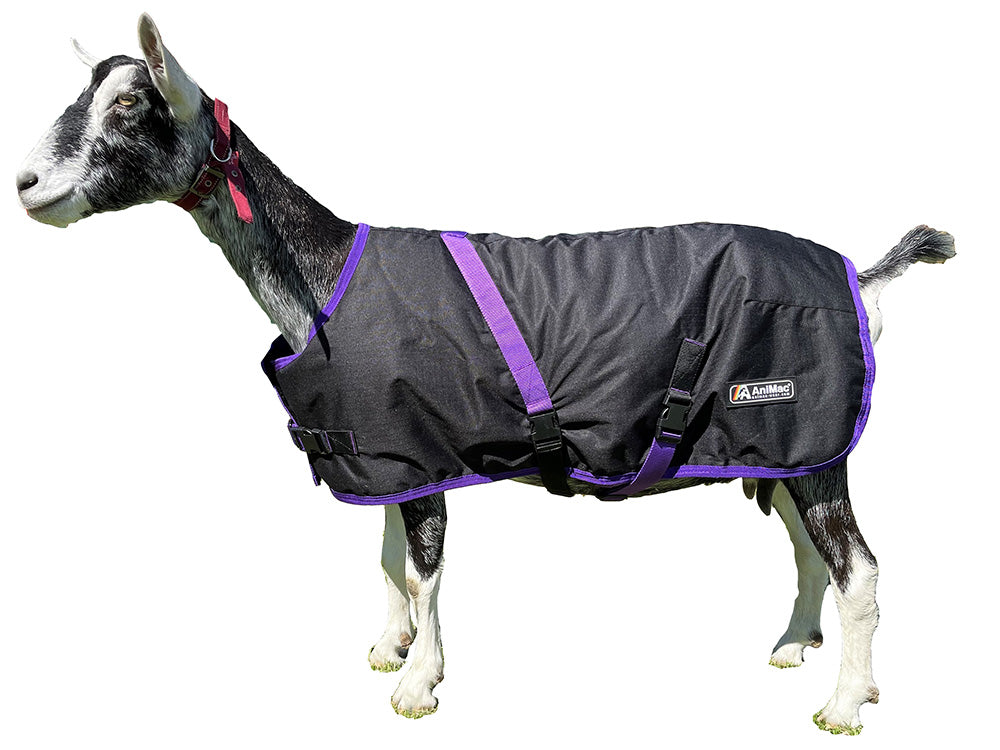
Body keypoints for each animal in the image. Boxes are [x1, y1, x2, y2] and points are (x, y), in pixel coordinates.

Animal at [15, 14, 954, 734]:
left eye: (129, 103)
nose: (25, 183)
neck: (325, 274)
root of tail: (859, 277)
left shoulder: (426, 450)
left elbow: (423, 570)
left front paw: (416, 687)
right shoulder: (388, 452)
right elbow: (387, 555)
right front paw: (388, 650)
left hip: (809, 437)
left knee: (860, 569)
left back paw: (845, 704)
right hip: (775, 445)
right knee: (805, 547)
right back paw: (796, 647)